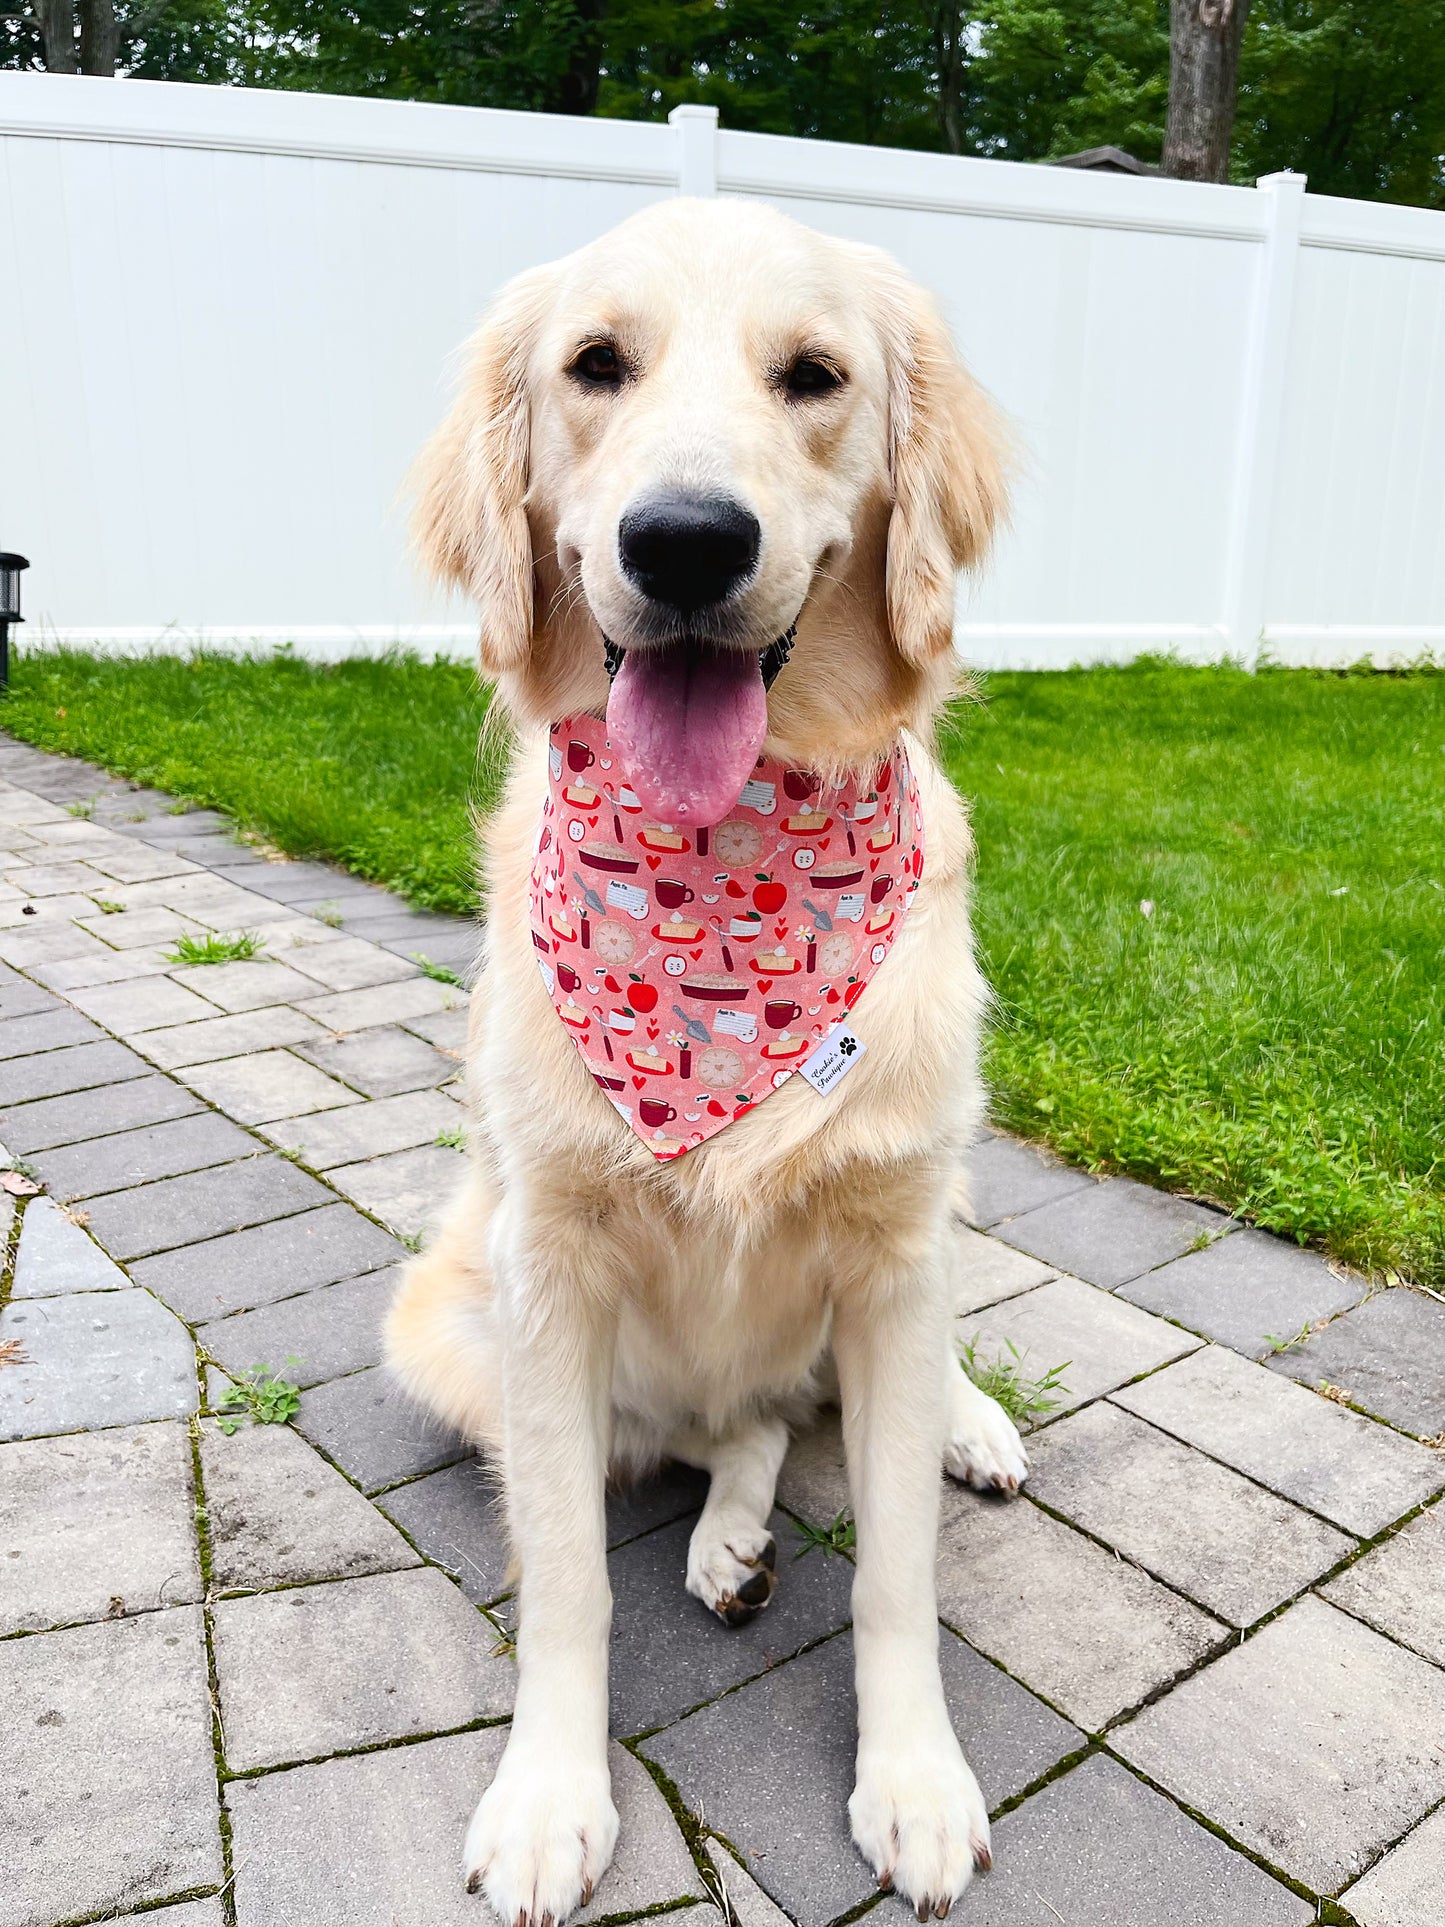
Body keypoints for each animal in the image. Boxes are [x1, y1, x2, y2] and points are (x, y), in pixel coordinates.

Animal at [387, 199, 1032, 1927]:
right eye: (595, 366)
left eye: (812, 375)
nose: (686, 542)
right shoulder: (548, 1272)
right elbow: (564, 1582)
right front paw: (550, 1794)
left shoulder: (894, 1251)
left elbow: (895, 1572)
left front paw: (915, 1779)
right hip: (450, 1326)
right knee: (725, 1426)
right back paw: (727, 1544)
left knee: (822, 1402)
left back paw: (967, 1427)